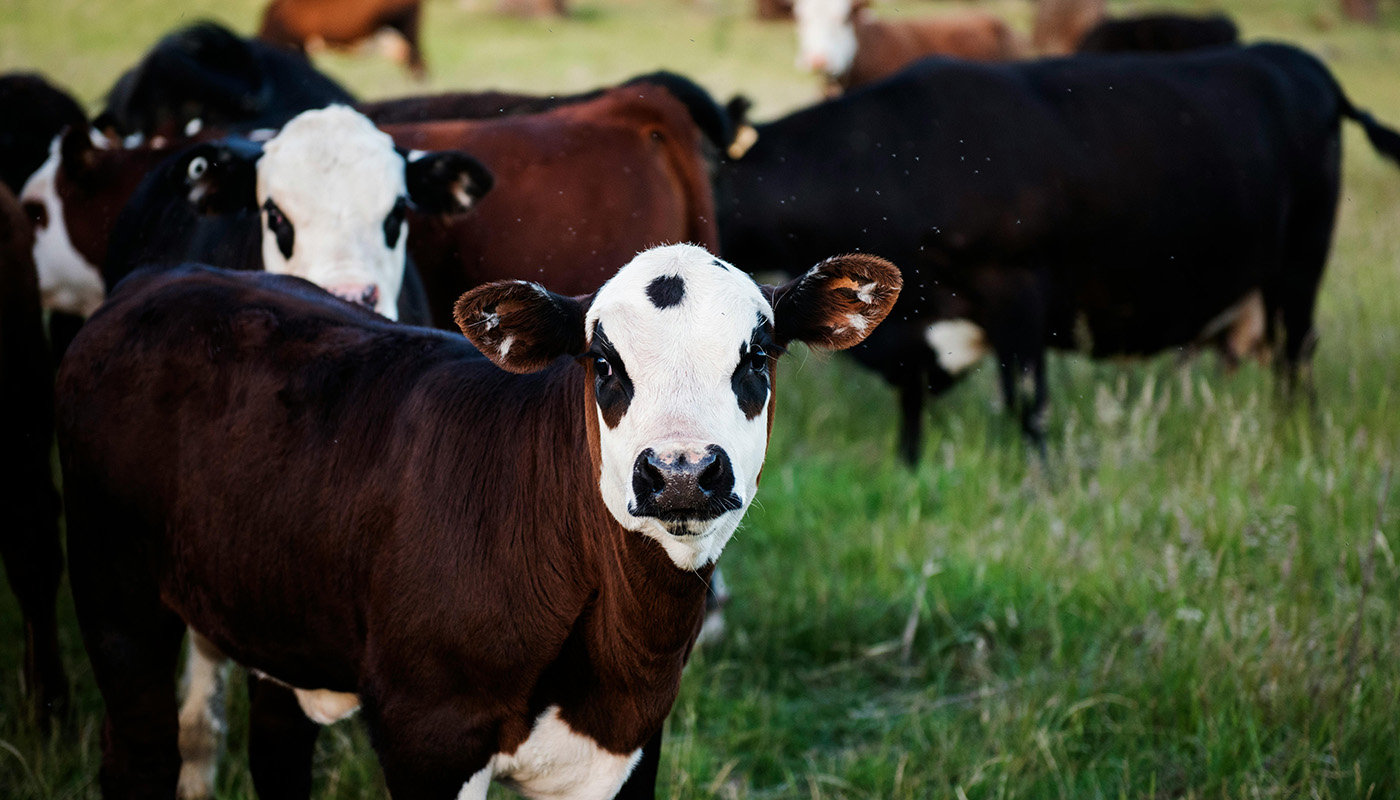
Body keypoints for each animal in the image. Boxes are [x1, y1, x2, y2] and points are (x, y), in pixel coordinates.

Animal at [56, 244, 901, 800]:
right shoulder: (428, 731)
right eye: (604, 363)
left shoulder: (630, 738)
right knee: (139, 755)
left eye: (756, 356)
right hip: (115, 597)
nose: (681, 471)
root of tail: (161, 278)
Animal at [717, 44, 1400, 463]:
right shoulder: (911, 330)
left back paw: (1296, 436)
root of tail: (1298, 61)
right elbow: (911, 403)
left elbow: (1028, 403)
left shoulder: (1018, 291)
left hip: (1300, 267)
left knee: (1295, 358)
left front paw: (1036, 487)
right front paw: (907, 468)